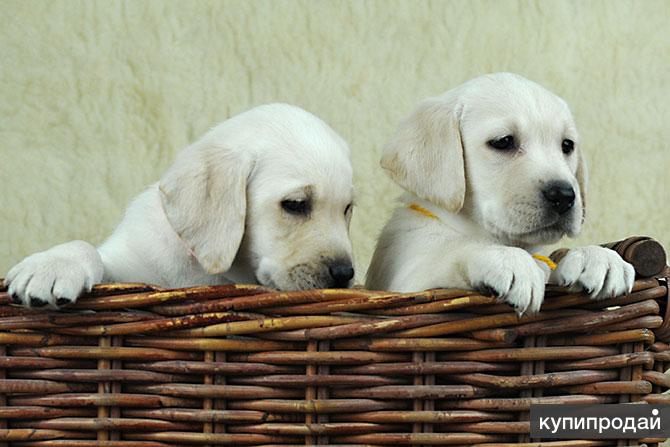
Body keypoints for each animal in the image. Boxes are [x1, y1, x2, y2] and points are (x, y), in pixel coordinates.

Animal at [6, 103, 356, 310]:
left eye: (347, 209)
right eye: (295, 204)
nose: (345, 274)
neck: (203, 268)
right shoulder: (127, 268)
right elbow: (88, 248)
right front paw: (54, 264)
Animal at [368, 72, 636, 316]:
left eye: (567, 145)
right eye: (503, 141)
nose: (563, 195)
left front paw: (597, 256)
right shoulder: (408, 281)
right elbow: (453, 254)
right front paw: (508, 260)